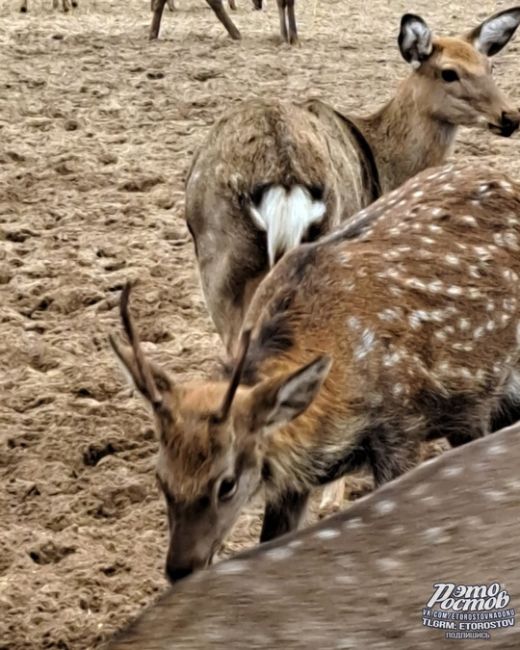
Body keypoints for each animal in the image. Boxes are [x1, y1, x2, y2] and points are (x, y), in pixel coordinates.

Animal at [186, 5, 520, 512]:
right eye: (449, 72)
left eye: (490, 65)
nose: (510, 116)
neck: (387, 160)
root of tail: (283, 173)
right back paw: (328, 492)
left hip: (221, 266)